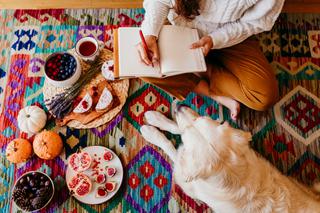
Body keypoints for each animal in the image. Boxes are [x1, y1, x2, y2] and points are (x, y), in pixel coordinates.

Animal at [141, 106, 320, 213]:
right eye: (200, 118)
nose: (179, 107)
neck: (229, 169)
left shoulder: (185, 178)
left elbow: (172, 148)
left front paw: (151, 132)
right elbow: (175, 127)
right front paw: (157, 118)